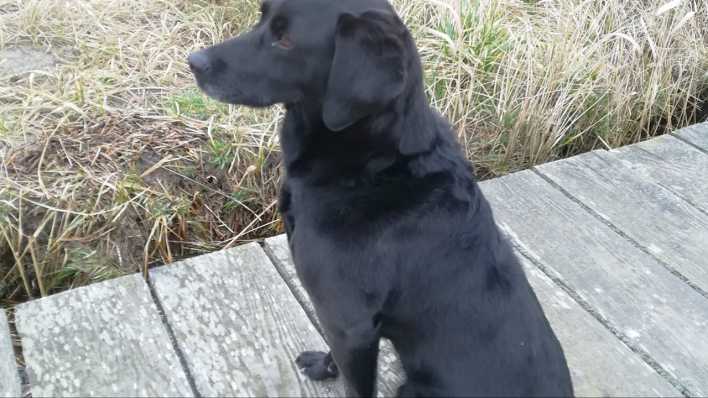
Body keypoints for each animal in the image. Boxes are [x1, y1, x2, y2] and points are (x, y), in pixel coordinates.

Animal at [189, 0, 576, 394]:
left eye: (285, 40)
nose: (194, 61)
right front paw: (323, 366)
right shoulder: (344, 323)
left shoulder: (349, 324)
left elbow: (355, 384)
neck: (371, 165)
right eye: (262, 19)